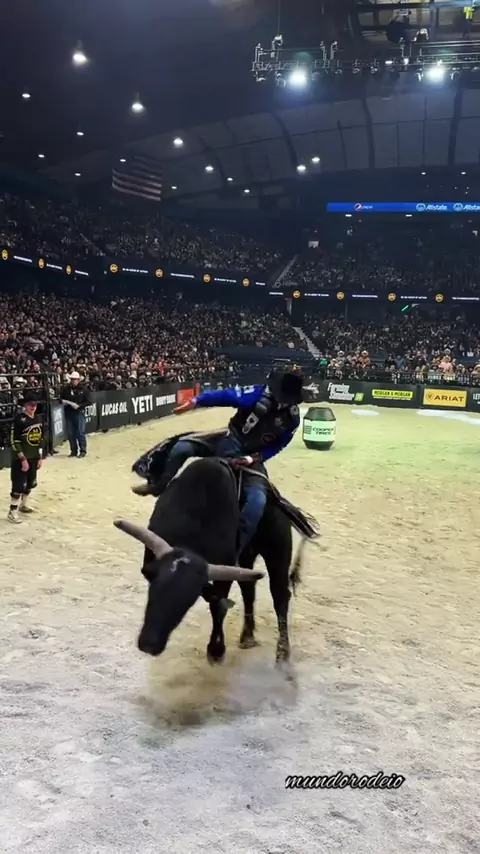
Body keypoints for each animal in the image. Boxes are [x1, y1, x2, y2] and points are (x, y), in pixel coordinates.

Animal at [115, 451, 319, 671]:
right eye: (154, 589)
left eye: (187, 599)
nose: (149, 644)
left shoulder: (225, 570)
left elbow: (218, 606)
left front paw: (216, 650)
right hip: (246, 557)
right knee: (249, 590)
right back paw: (247, 636)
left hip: (277, 553)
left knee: (280, 596)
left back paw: (282, 654)